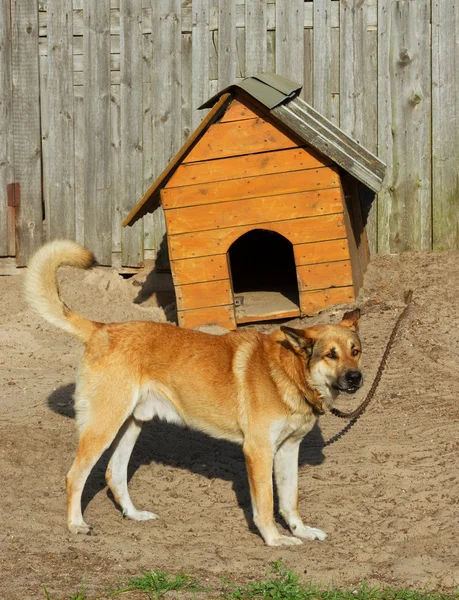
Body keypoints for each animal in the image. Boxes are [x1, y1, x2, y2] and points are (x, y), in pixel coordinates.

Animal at [25, 241, 364, 548]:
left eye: (355, 351)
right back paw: (76, 524)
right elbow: (266, 504)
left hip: (130, 425)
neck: (288, 372)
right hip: (103, 427)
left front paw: (301, 531)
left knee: (114, 474)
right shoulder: (258, 451)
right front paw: (275, 539)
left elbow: (290, 499)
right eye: (330, 355)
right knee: (74, 476)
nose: (356, 378)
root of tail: (103, 329)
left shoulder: (287, 450)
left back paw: (134, 515)